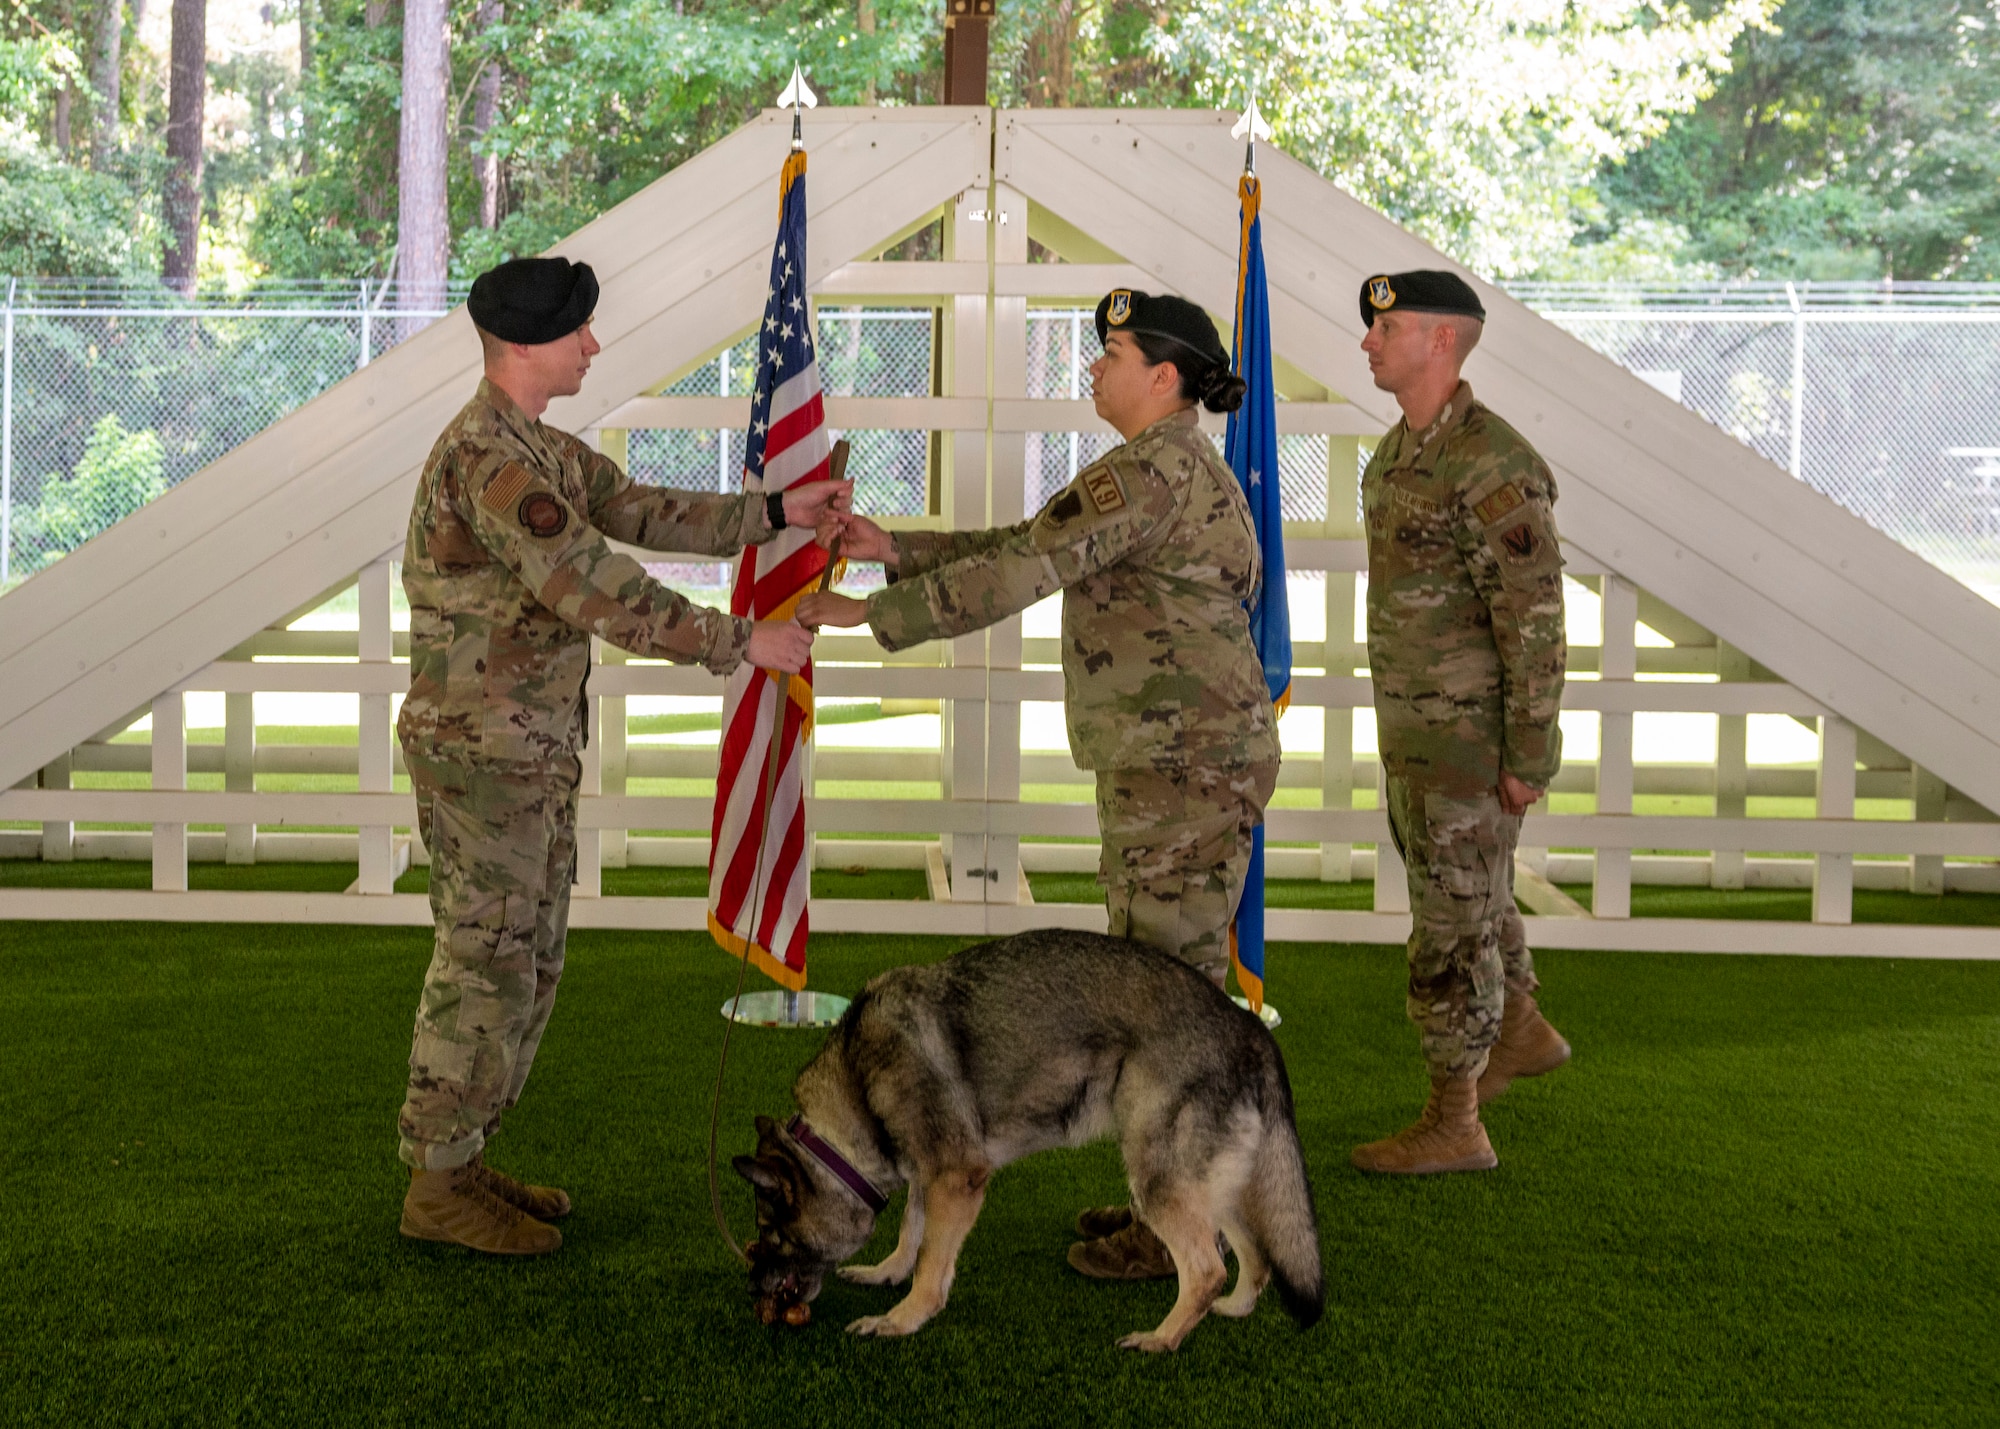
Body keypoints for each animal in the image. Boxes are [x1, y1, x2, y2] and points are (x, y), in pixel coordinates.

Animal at [740, 924, 1328, 1344]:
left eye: (770, 1233)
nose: (752, 1289)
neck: (854, 1090)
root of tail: (1247, 1025)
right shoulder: (929, 1175)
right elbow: (911, 1232)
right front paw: (886, 1273)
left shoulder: (956, 1178)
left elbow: (931, 1261)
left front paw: (902, 1320)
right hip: (1209, 1185)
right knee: (1255, 1256)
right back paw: (1233, 1309)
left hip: (1158, 1181)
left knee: (1207, 1269)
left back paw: (1161, 1339)